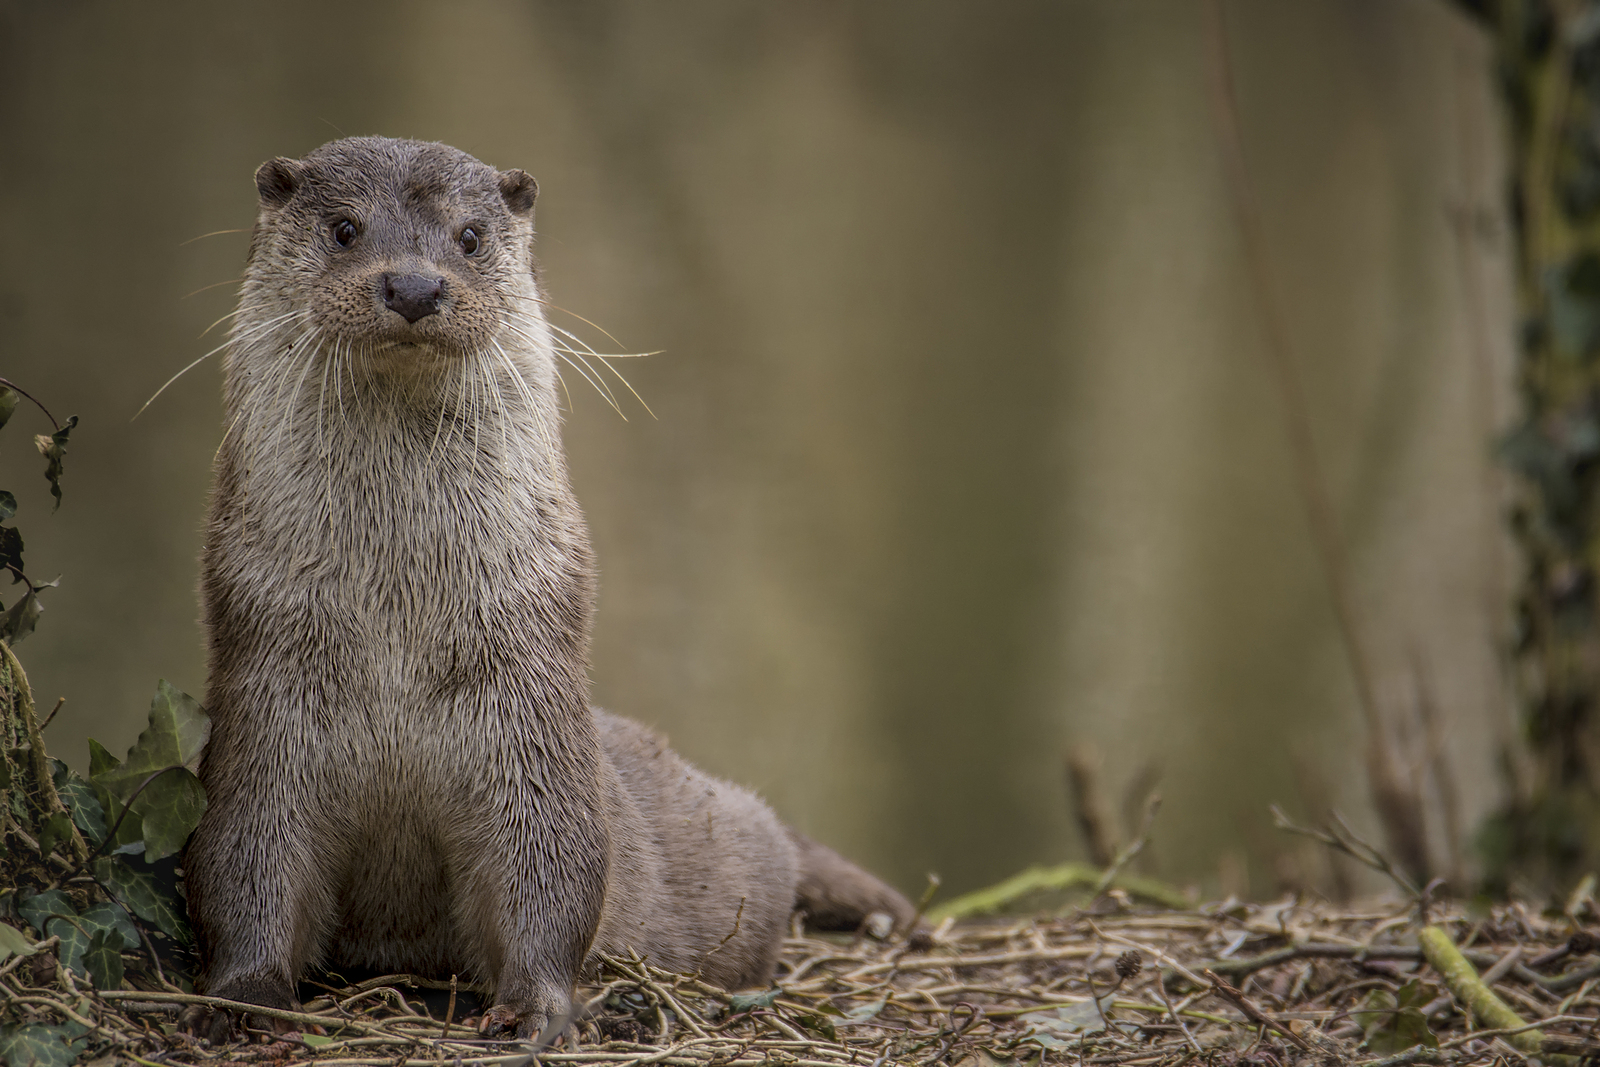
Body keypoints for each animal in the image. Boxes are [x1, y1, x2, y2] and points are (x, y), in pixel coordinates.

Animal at [182, 137, 917, 1042]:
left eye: (468, 236)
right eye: (345, 228)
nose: (415, 286)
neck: (396, 631)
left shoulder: (530, 698)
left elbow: (549, 869)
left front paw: (537, 1008)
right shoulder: (265, 693)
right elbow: (246, 858)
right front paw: (245, 996)